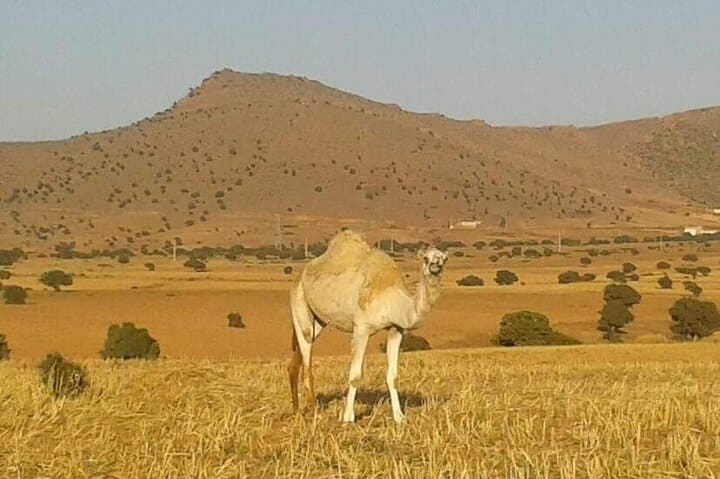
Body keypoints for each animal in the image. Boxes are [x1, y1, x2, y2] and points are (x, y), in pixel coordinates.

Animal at [287, 230, 448, 423]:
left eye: (444, 258)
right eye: (425, 258)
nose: (435, 264)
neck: (392, 296)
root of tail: (299, 278)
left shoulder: (396, 330)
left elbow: (393, 376)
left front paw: (399, 417)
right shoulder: (361, 328)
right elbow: (355, 376)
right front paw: (348, 418)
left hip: (317, 321)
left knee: (294, 364)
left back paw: (297, 413)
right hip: (299, 305)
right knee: (307, 366)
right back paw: (316, 415)